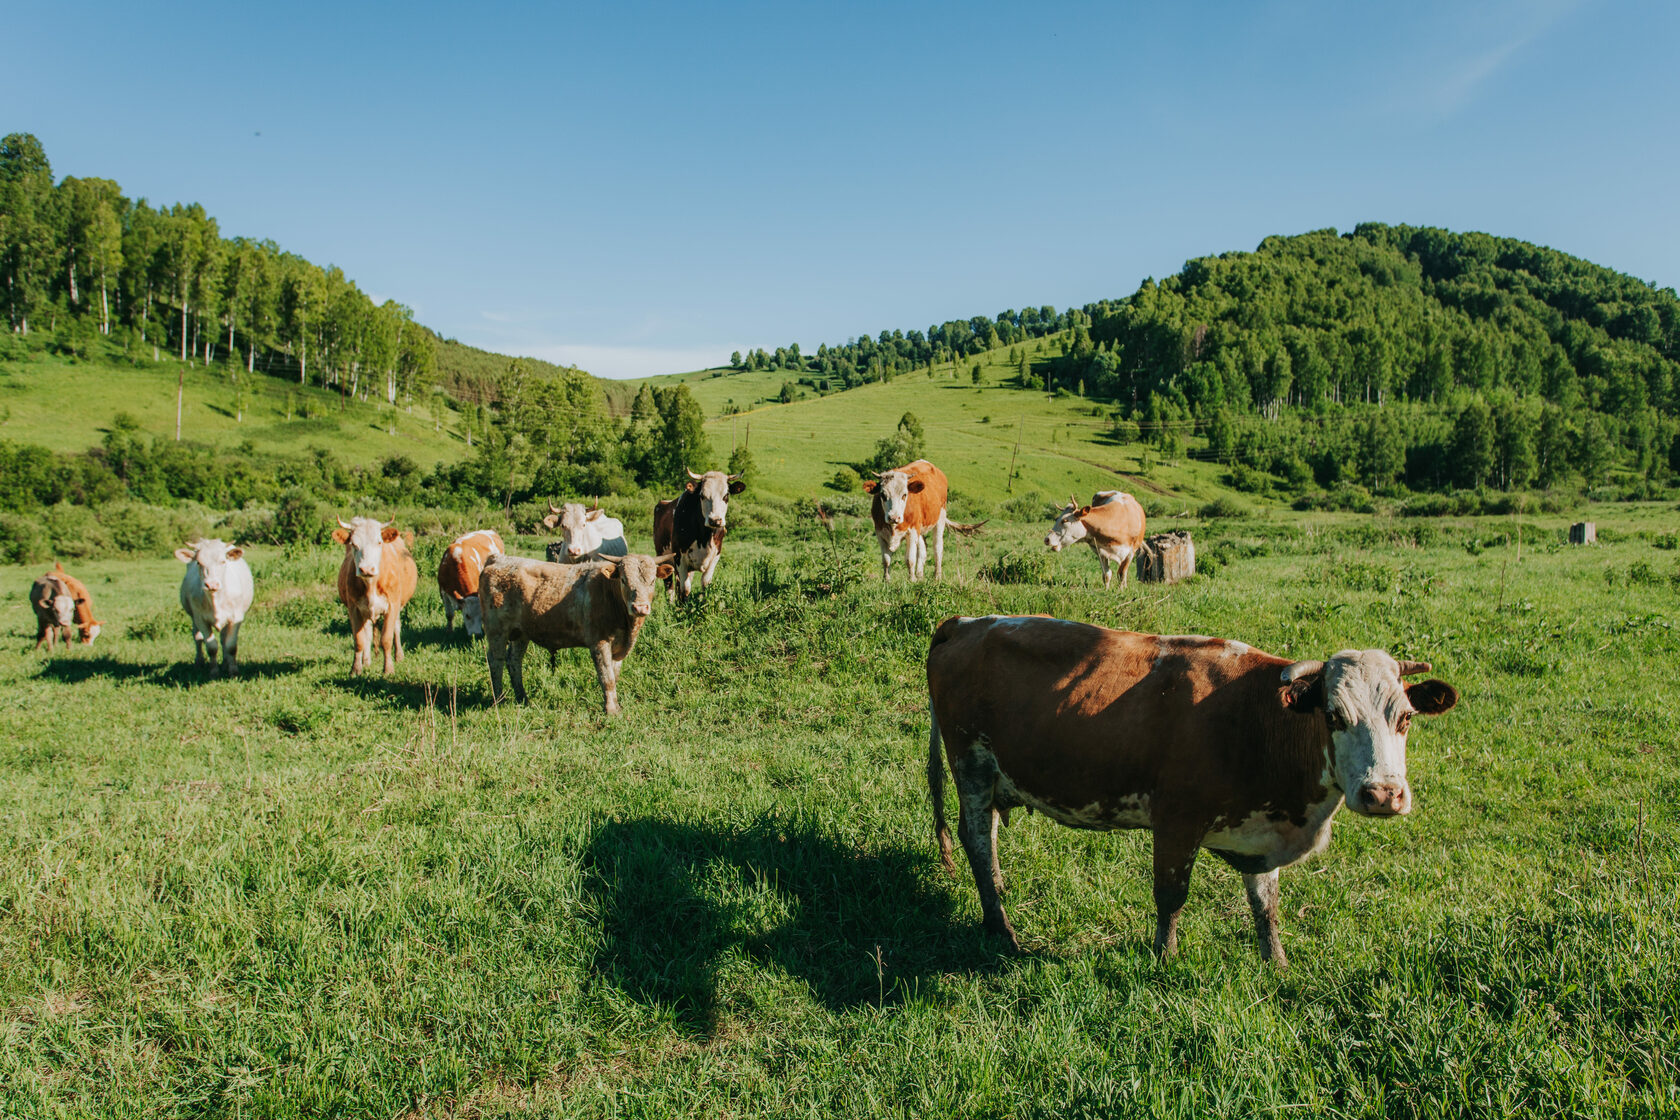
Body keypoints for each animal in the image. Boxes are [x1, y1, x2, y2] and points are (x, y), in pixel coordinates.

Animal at [178, 537, 258, 678]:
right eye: (198, 562)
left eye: (223, 561)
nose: (212, 584)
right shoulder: (200, 619)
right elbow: (211, 647)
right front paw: (214, 672)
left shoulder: (236, 617)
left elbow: (231, 645)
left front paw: (233, 671)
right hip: (193, 618)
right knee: (197, 638)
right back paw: (199, 662)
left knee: (223, 640)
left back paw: (225, 663)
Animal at [329, 517, 418, 675]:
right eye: (353, 544)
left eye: (379, 542)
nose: (366, 569)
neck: (371, 584)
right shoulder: (354, 608)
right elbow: (359, 640)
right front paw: (355, 669)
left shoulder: (392, 606)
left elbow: (386, 639)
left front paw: (388, 669)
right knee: (368, 633)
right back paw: (366, 661)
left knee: (396, 627)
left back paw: (399, 656)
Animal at [477, 550, 672, 718]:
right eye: (624, 580)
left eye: (652, 581)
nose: (640, 607)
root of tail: (498, 559)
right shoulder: (599, 642)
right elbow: (606, 677)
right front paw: (610, 710)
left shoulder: (619, 649)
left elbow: (614, 676)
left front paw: (616, 707)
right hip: (497, 631)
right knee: (496, 661)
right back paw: (499, 699)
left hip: (520, 634)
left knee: (514, 661)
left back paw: (523, 699)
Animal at [648, 466, 742, 601]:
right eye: (702, 495)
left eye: (726, 495)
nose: (715, 520)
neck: (704, 537)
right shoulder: (679, 558)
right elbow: (685, 589)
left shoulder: (715, 556)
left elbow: (705, 584)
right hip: (664, 558)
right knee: (670, 588)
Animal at [920, 614, 1458, 967]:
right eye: (1333, 716)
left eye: (1405, 718)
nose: (1383, 795)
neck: (1257, 721)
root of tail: (968, 622)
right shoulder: (1176, 822)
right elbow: (1171, 895)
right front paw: (1165, 957)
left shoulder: (1260, 833)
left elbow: (1266, 905)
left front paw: (1277, 963)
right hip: (969, 762)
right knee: (975, 840)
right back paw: (1001, 929)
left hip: (993, 774)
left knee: (987, 837)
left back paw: (998, 897)